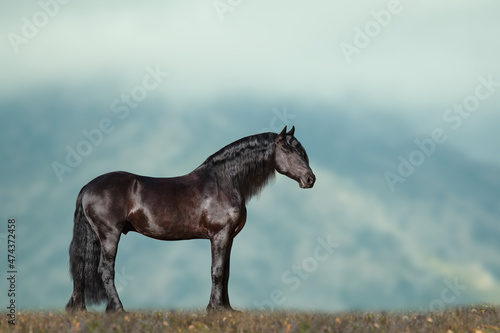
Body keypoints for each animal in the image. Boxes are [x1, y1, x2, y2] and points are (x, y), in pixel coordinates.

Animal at [66, 126, 314, 312]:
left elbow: (226, 271)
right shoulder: (219, 235)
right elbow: (217, 270)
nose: (310, 179)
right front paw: (214, 309)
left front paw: (226, 308)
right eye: (288, 151)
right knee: (106, 270)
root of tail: (87, 187)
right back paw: (118, 309)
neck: (223, 182)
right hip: (109, 234)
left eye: (302, 151)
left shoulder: (230, 237)